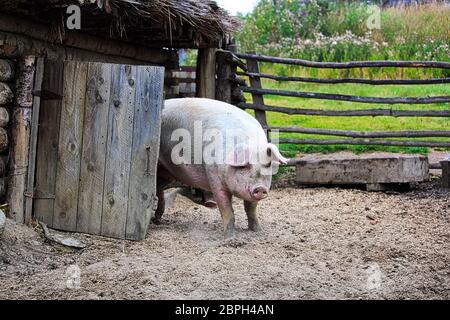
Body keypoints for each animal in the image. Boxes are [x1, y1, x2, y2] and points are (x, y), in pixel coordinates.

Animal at [155, 98, 288, 238]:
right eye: (244, 165)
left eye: (267, 164)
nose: (260, 188)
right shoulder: (214, 178)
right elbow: (226, 208)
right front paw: (229, 237)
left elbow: (251, 208)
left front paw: (257, 230)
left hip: (166, 173)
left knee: (159, 189)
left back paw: (157, 219)